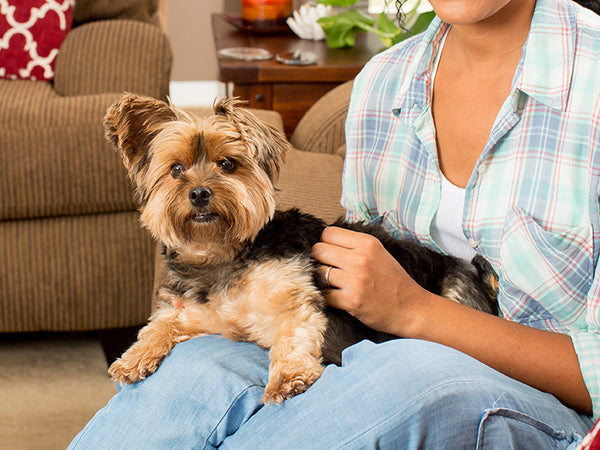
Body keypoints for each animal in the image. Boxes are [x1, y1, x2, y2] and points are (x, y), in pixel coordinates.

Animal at [104, 95, 496, 404]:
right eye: (176, 169)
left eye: (228, 164)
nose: (199, 192)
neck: (222, 254)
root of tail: (472, 272)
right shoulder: (200, 314)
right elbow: (160, 324)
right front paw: (134, 357)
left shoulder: (292, 296)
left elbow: (293, 335)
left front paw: (288, 378)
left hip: (456, 294)